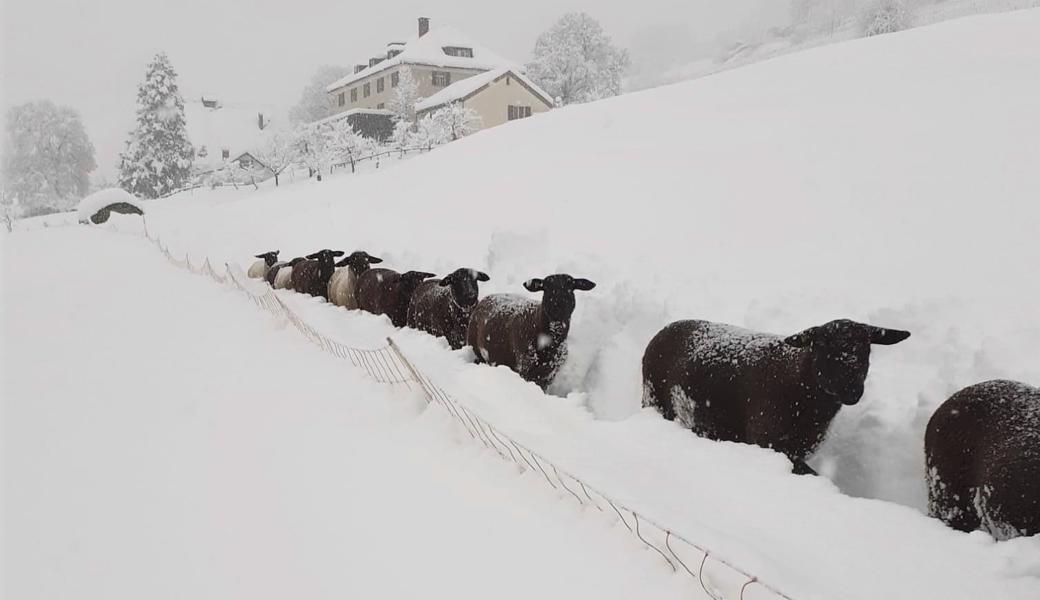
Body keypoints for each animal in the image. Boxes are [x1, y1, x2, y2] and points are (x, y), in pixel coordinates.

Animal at [467, 272, 599, 388]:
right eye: (546, 288)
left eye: (571, 287)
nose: (558, 309)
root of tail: (486, 298)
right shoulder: (525, 368)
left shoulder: (550, 374)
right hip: (476, 349)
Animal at [640, 318, 911, 472]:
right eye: (823, 348)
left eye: (866, 350)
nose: (852, 391)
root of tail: (665, 329)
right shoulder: (768, 441)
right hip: (653, 398)